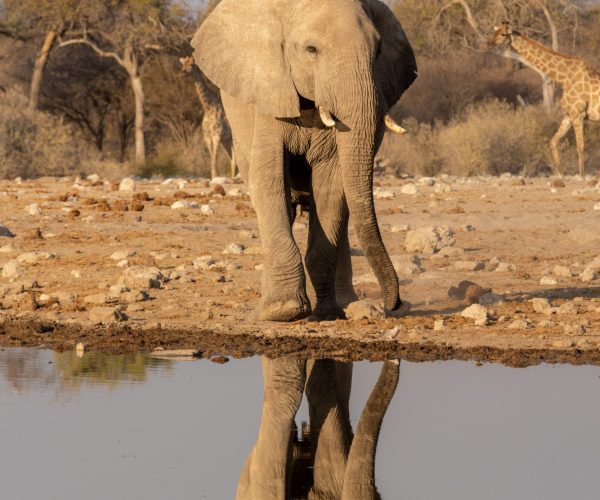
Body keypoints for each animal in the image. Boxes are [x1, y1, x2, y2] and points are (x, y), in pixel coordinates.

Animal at [192, 0, 418, 320]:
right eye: (311, 49)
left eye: (378, 52)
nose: (394, 305)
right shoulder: (269, 92)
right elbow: (269, 177)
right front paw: (284, 311)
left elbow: (331, 183)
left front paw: (325, 313)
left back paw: (347, 305)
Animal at [488, 23, 600, 180]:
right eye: (494, 32)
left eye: (503, 34)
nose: (488, 43)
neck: (563, 76)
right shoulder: (568, 115)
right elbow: (553, 141)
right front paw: (560, 174)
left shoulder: (578, 114)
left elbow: (580, 146)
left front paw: (582, 178)